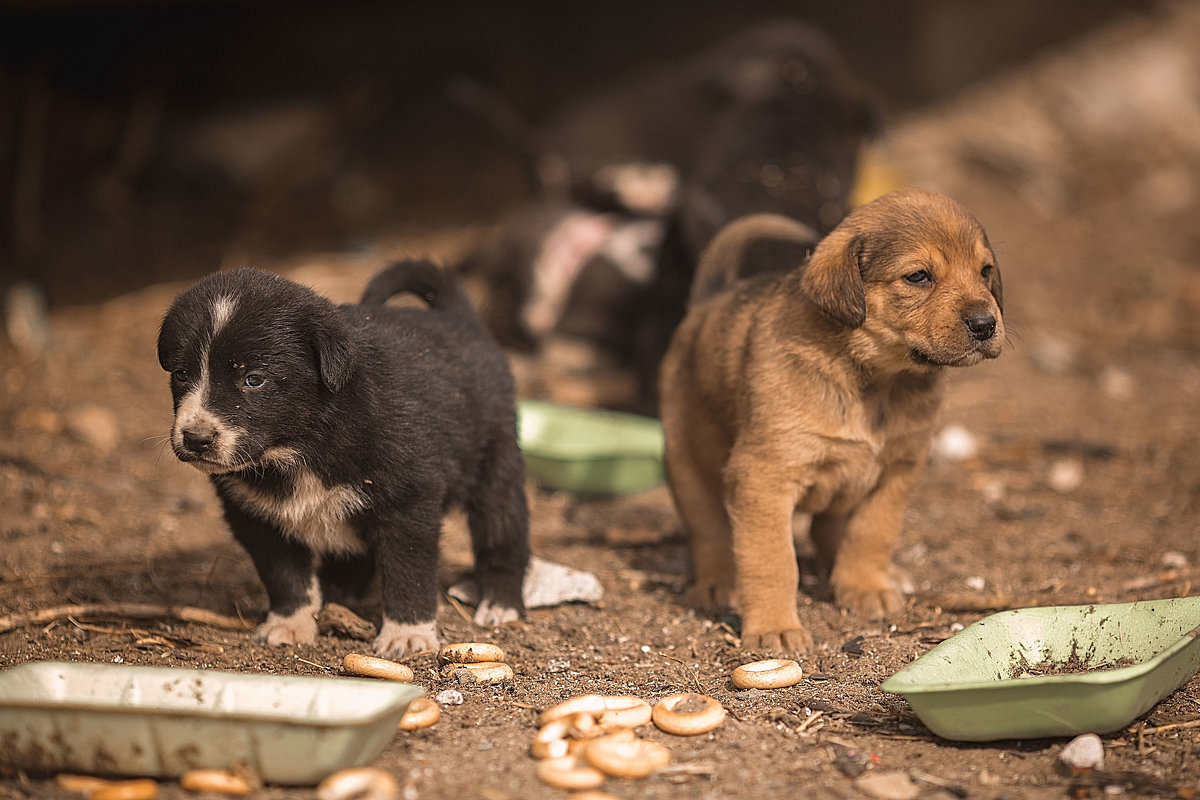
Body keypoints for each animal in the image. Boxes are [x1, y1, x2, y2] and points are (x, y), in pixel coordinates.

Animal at [158, 262, 530, 657]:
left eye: (253, 379)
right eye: (181, 373)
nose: (196, 439)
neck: (304, 442)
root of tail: (456, 317)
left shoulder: (408, 501)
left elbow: (408, 569)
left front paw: (407, 632)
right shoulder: (255, 514)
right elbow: (284, 574)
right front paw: (290, 623)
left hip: (495, 463)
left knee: (503, 533)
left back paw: (501, 601)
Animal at [657, 190, 1003, 652]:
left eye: (985, 271)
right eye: (918, 277)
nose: (986, 324)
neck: (877, 380)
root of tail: (707, 300)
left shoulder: (899, 470)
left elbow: (872, 532)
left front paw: (866, 586)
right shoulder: (763, 478)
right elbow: (773, 561)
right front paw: (774, 627)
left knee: (828, 531)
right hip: (687, 464)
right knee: (710, 531)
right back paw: (718, 584)